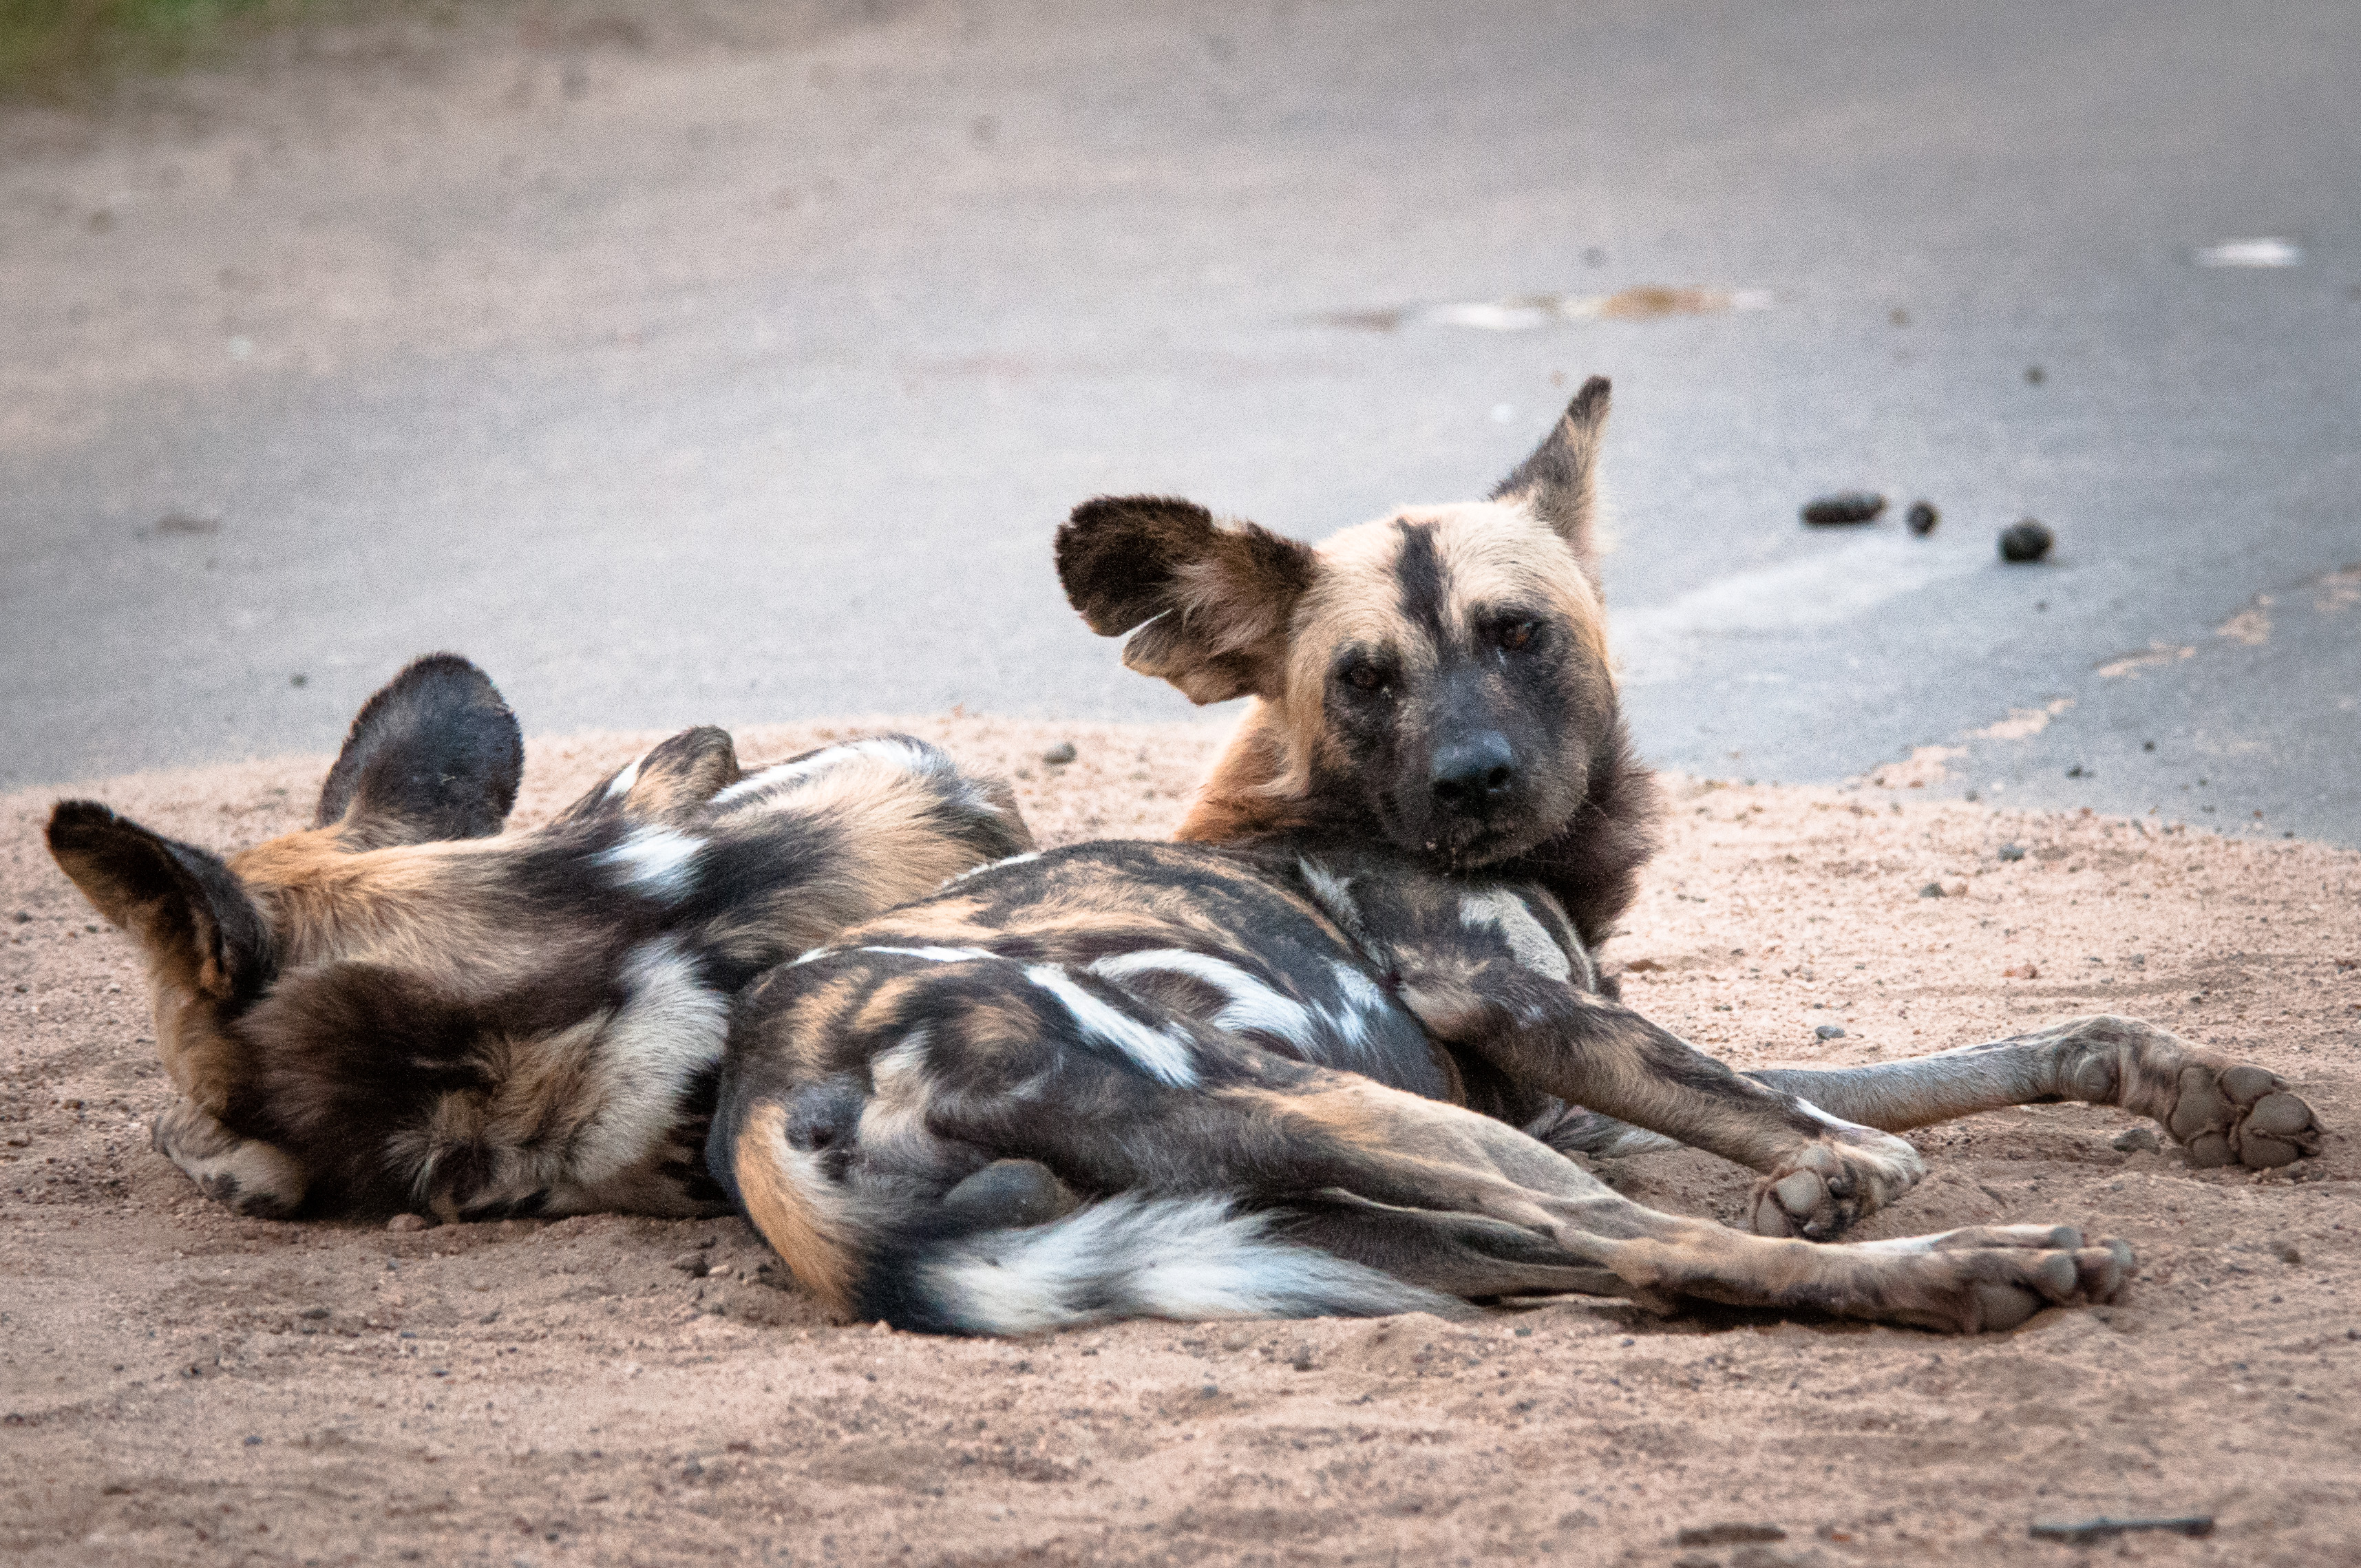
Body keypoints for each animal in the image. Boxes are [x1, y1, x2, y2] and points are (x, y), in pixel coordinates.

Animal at [703, 380, 2323, 1331]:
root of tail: (772, 1097)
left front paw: (2203, 1088)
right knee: (1634, 1228)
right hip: (1344, 1109)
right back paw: (1975, 1259)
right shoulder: (1521, 1012)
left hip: (1319, 1222)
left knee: (1646, 1255)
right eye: (1363, 676)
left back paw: (1954, 1276)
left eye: (1518, 633)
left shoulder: (1581, 1082)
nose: (1473, 779)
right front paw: (1836, 1177)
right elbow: (1834, 1126)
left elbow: (2009, 1050)